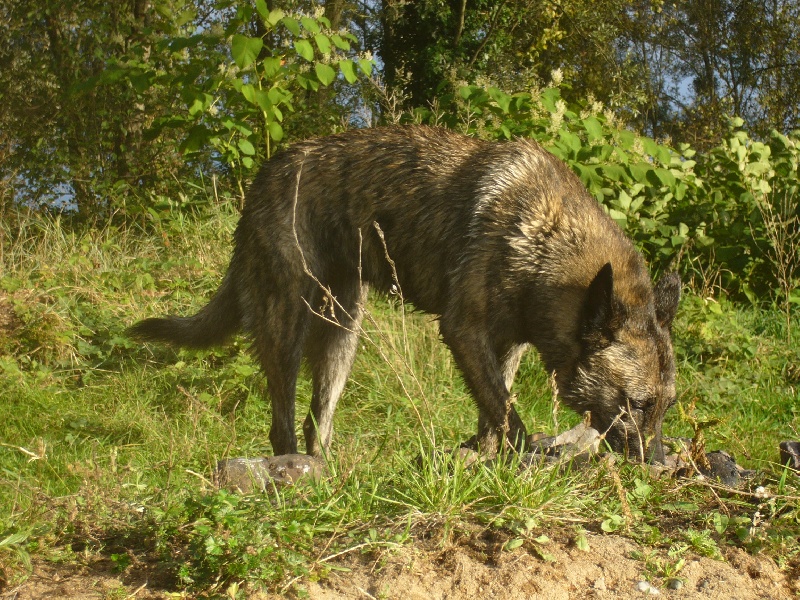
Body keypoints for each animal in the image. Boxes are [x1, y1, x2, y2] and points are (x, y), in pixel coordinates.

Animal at [129, 125, 681, 462]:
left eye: (665, 407)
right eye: (637, 404)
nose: (654, 463)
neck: (546, 240)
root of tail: (264, 177)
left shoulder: (505, 347)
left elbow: (493, 410)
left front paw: (487, 459)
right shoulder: (464, 331)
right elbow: (507, 413)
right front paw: (519, 459)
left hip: (341, 335)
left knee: (316, 423)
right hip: (288, 327)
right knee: (282, 423)